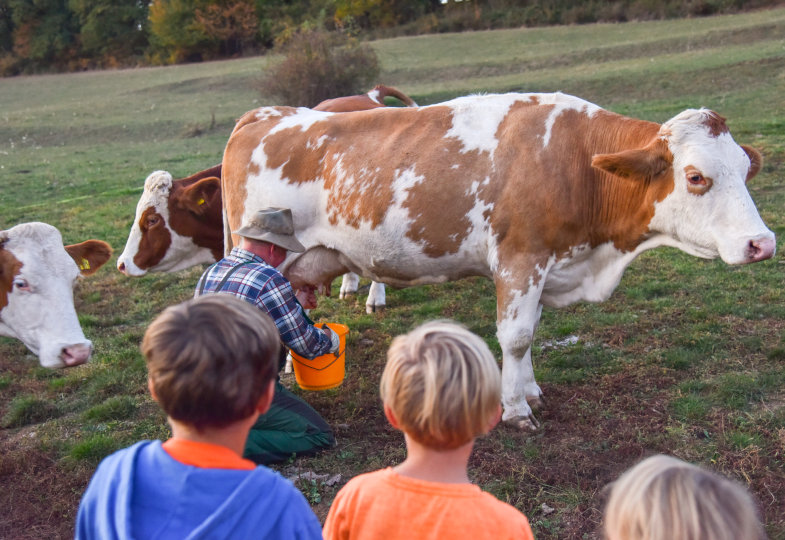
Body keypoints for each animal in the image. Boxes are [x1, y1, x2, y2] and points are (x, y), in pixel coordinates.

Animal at [217, 92, 776, 430]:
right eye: (696, 176)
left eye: (746, 168)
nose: (763, 243)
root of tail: (267, 114)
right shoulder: (519, 258)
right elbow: (517, 335)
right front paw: (514, 409)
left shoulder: (545, 264)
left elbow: (531, 331)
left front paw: (530, 390)